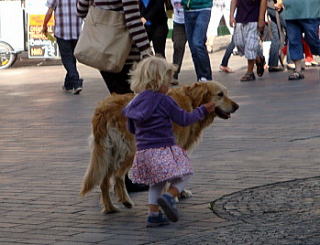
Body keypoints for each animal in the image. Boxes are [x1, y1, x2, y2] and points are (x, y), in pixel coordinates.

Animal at [81, 82, 239, 212]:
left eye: (226, 93)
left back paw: (110, 207)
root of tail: (103, 109)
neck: (192, 101)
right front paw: (173, 196)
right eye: (220, 94)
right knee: (117, 176)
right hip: (130, 151)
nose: (236, 106)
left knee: (104, 180)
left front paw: (179, 193)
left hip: (108, 153)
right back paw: (125, 201)